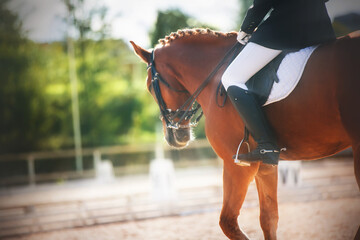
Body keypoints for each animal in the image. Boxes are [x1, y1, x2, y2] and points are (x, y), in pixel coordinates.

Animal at [131, 29, 358, 239]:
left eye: (149, 86)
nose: (174, 137)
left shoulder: (237, 165)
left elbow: (228, 222)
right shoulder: (266, 164)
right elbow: (269, 218)